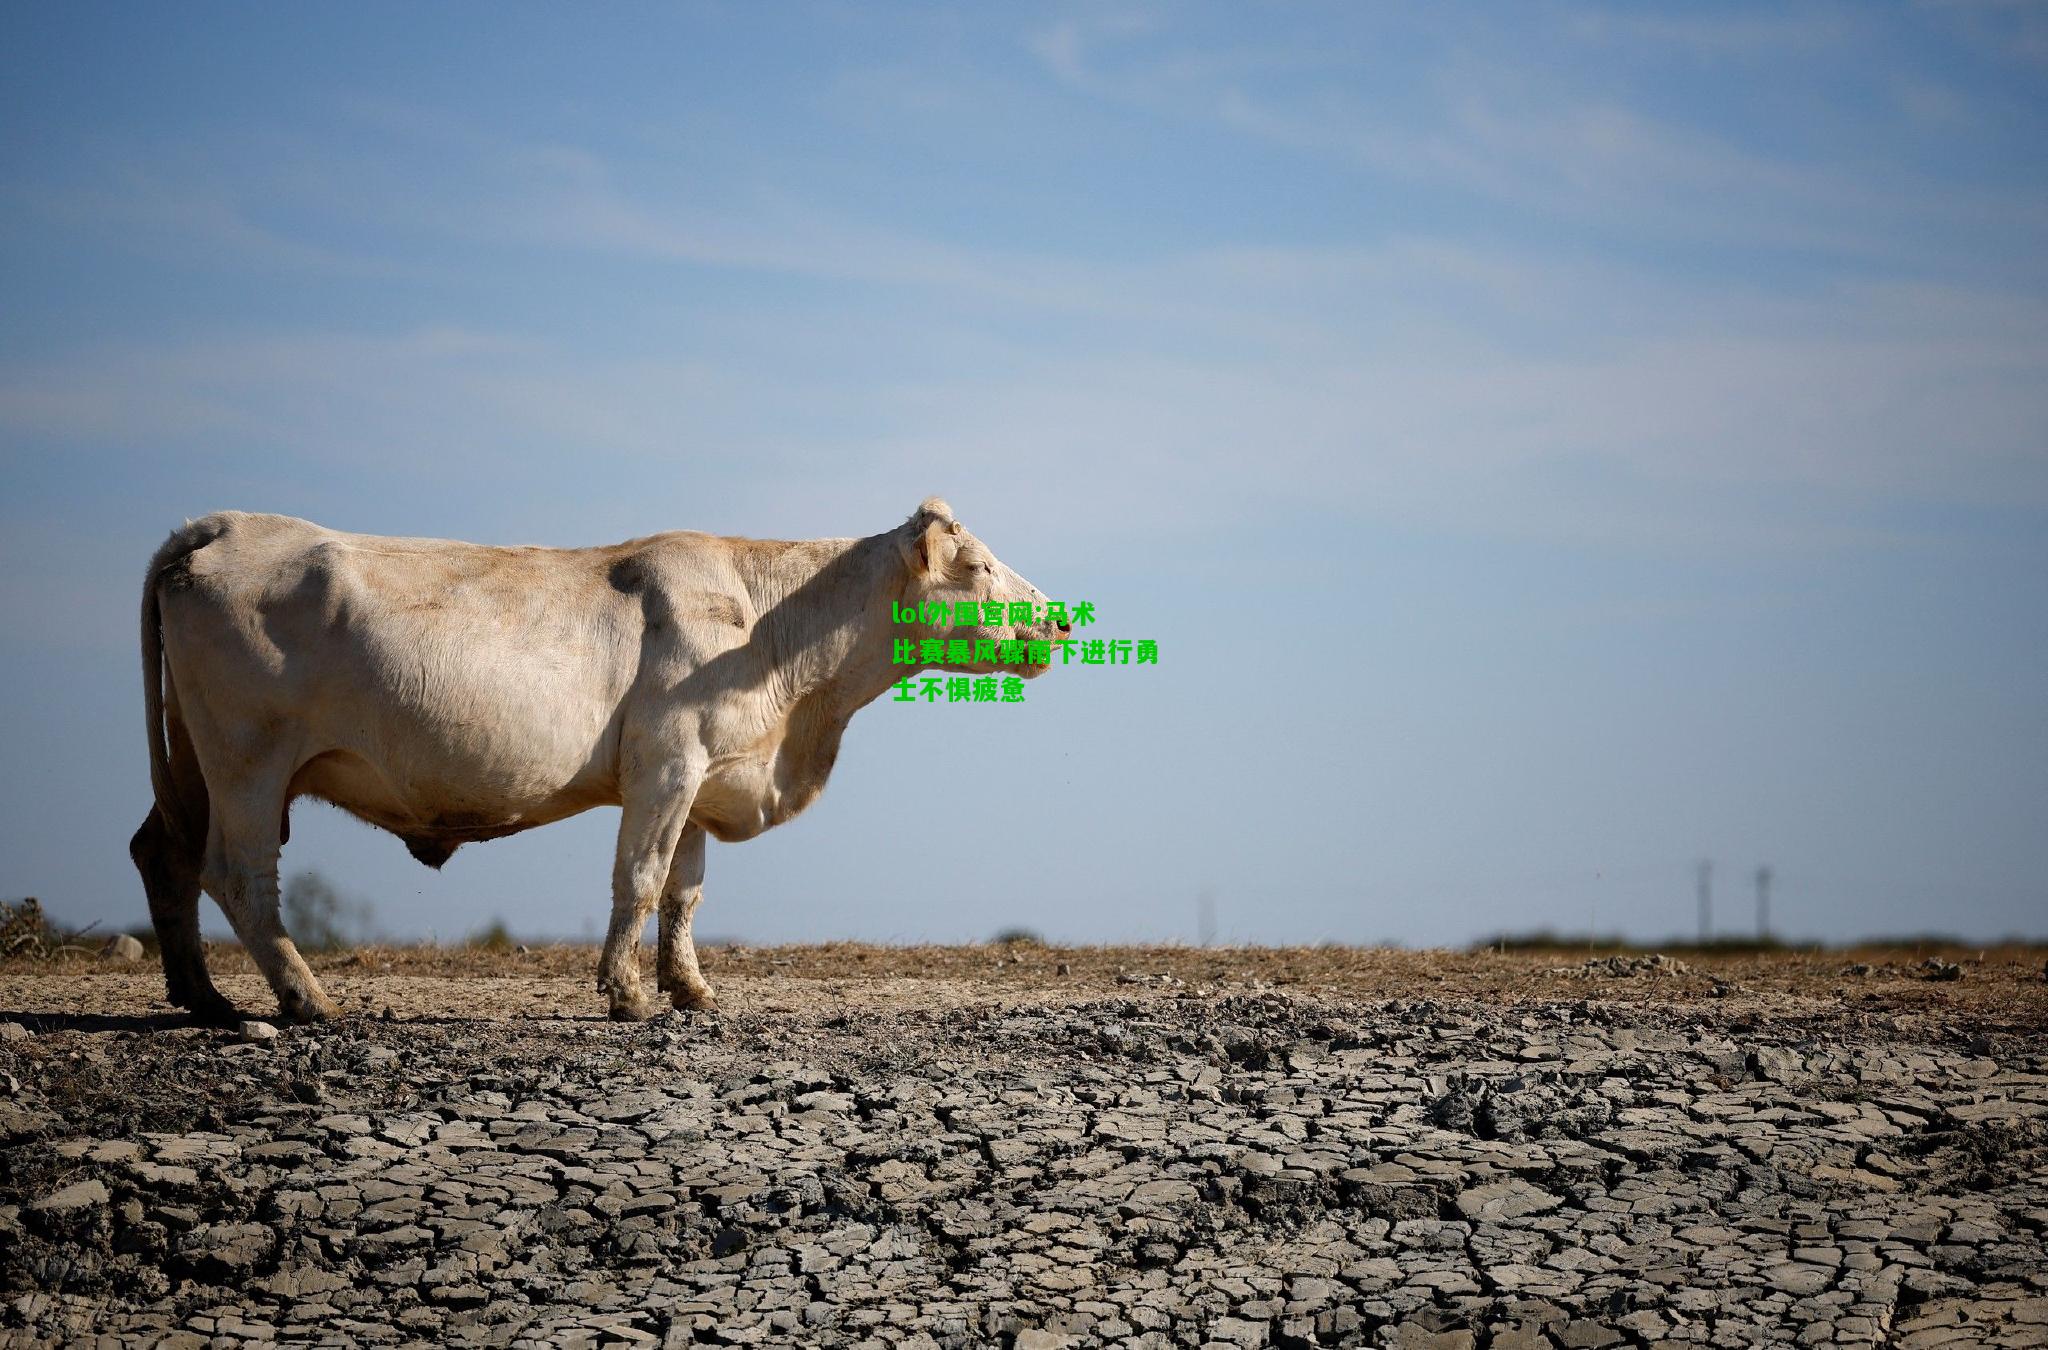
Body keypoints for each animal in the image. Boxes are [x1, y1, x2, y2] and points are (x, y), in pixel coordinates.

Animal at [130, 499, 1064, 1024]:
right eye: (977, 566)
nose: (1059, 619)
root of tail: (218, 526)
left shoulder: (705, 773)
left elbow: (685, 893)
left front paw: (691, 991)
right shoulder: (667, 762)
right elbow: (641, 879)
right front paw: (627, 994)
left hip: (193, 762)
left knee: (161, 853)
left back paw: (204, 998)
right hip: (247, 761)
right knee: (239, 874)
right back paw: (305, 999)